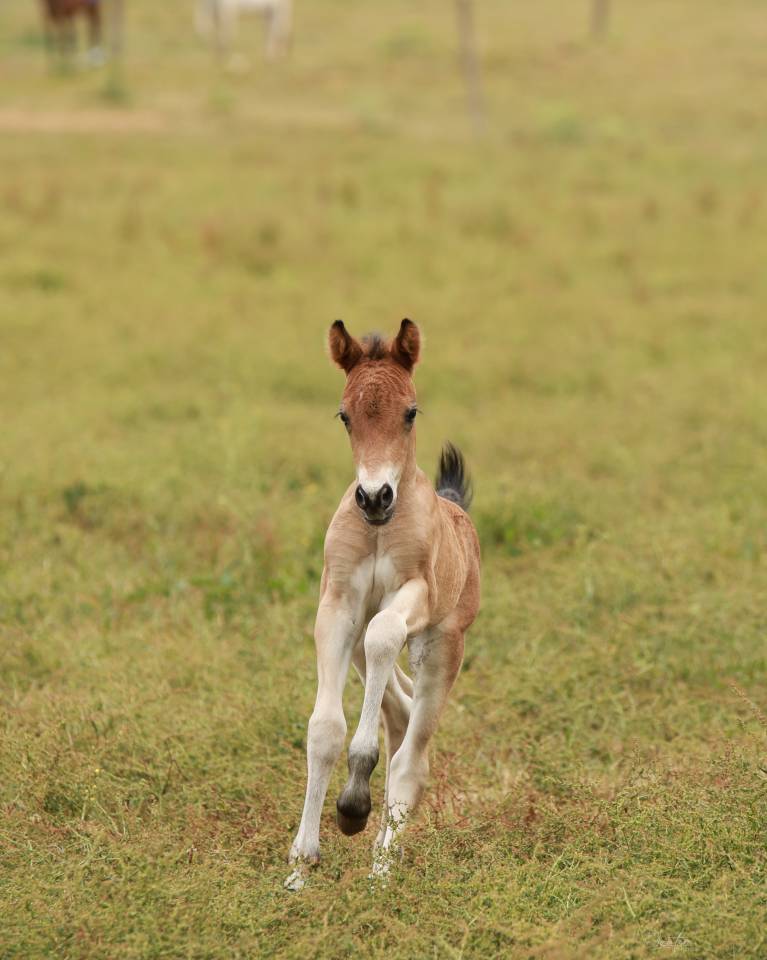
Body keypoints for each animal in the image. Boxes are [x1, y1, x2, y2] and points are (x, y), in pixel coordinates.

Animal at [285, 319, 481, 889]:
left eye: (410, 411)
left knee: (412, 759)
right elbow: (324, 730)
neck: (378, 530)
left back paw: (380, 874)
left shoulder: (413, 594)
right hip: (358, 645)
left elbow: (384, 635)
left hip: (444, 646)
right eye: (344, 415)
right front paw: (300, 865)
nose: (374, 497)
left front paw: (353, 803)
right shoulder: (338, 606)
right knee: (399, 706)